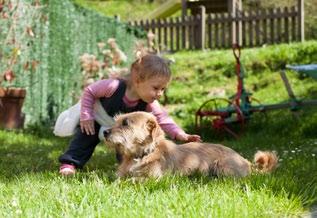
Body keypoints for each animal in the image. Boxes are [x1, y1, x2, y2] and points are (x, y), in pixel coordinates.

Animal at [103, 111, 276, 178]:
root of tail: (246, 161)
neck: (142, 154)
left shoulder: (153, 178)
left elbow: (132, 181)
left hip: (223, 167)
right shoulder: (120, 175)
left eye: (125, 123)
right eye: (117, 120)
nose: (104, 132)